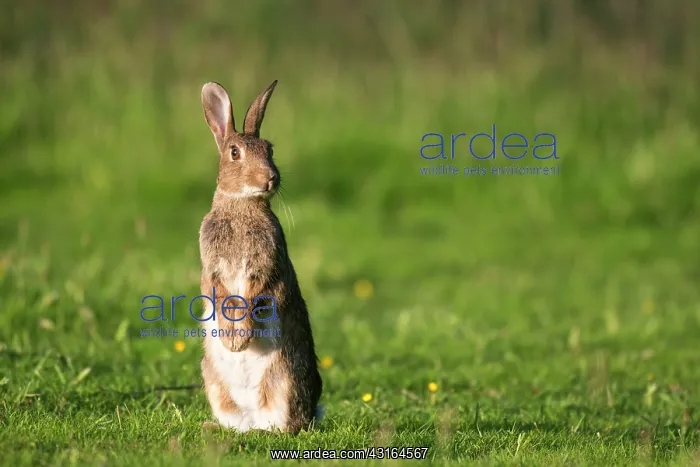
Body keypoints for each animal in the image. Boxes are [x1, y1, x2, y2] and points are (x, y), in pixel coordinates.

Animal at [198, 80, 323, 434]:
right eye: (234, 152)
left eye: (270, 149)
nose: (270, 178)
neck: (242, 203)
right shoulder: (211, 268)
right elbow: (219, 294)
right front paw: (234, 341)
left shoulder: (268, 267)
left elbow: (256, 294)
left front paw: (240, 339)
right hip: (214, 383)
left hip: (286, 378)